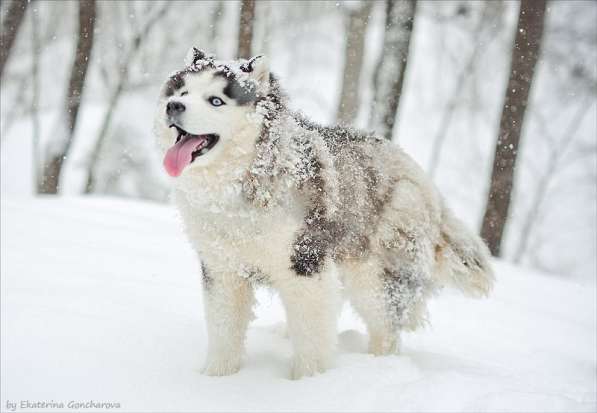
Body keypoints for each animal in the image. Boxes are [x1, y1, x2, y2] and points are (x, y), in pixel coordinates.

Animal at [155, 46, 494, 378]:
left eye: (216, 100)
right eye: (182, 91)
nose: (173, 106)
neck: (239, 186)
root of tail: (426, 183)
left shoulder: (305, 263)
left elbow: (311, 335)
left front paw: (309, 381)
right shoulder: (223, 270)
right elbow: (224, 330)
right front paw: (216, 378)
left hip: (372, 278)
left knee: (386, 330)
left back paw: (381, 367)